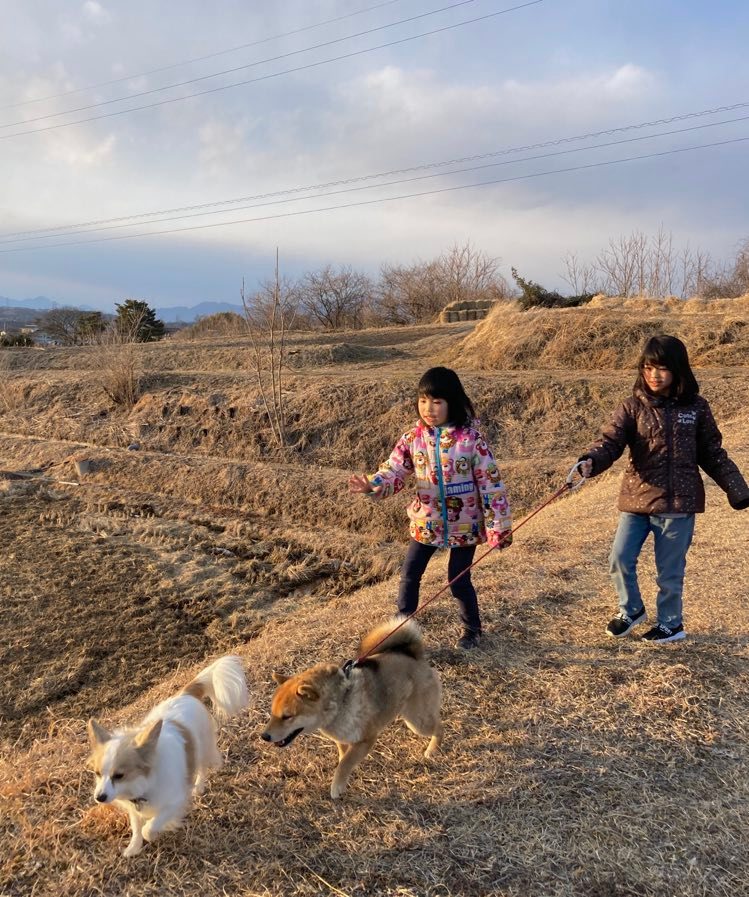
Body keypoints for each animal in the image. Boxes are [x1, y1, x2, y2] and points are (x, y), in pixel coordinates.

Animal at [86, 656, 247, 856]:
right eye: (97, 774)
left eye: (119, 775)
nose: (99, 797)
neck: (143, 784)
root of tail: (186, 694)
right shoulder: (134, 809)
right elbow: (137, 828)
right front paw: (134, 847)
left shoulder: (174, 801)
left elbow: (148, 828)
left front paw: (156, 832)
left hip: (202, 749)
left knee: (202, 768)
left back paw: (198, 787)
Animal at [262, 616, 442, 800]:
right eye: (272, 714)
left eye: (287, 716)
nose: (264, 736)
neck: (340, 702)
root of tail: (414, 655)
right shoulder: (342, 739)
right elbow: (344, 759)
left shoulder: (366, 738)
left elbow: (345, 763)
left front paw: (337, 787)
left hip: (417, 722)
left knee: (438, 726)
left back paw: (433, 749)